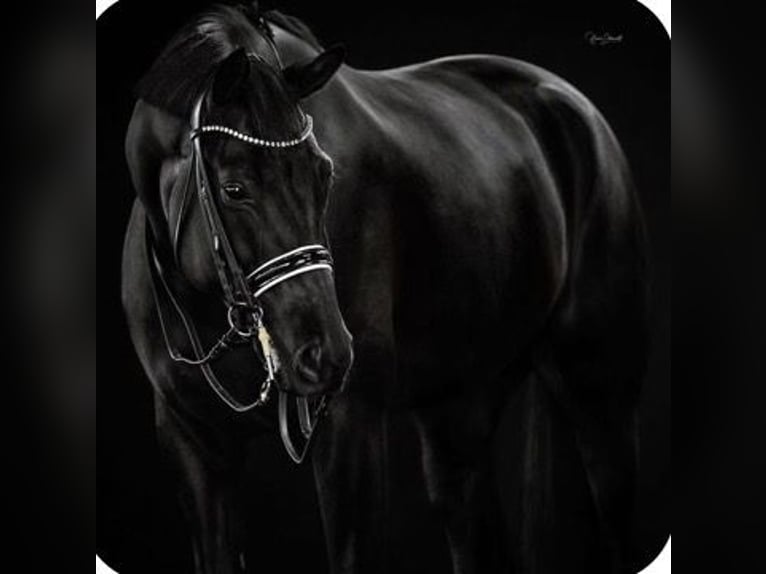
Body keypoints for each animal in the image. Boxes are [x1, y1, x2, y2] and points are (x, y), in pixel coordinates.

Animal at [121, 3, 649, 573]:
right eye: (234, 188)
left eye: (325, 175)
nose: (325, 355)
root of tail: (574, 108)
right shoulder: (193, 445)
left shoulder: (351, 426)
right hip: (460, 413)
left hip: (599, 397)